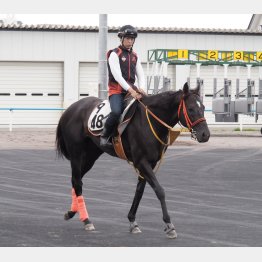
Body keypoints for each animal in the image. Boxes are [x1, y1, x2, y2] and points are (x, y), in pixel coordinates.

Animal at [55, 82, 211, 239]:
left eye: (203, 107)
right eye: (191, 109)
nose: (205, 134)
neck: (150, 120)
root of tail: (71, 109)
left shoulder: (149, 163)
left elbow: (139, 191)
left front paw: (132, 221)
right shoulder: (141, 162)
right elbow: (159, 190)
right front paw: (169, 224)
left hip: (91, 156)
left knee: (76, 180)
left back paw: (72, 212)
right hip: (77, 155)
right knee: (77, 182)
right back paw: (86, 220)